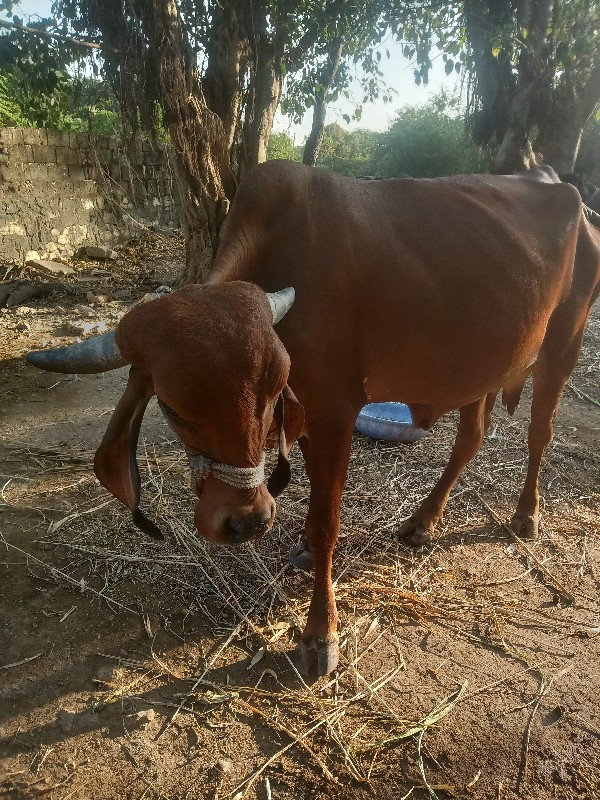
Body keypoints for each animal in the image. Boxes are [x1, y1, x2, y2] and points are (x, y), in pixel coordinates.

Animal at [27, 162, 600, 676]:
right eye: (173, 407)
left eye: (272, 389)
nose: (247, 521)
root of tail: (566, 188)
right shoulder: (308, 418)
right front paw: (301, 549)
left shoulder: (336, 411)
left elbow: (327, 522)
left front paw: (320, 635)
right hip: (478, 367)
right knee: (473, 435)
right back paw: (423, 520)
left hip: (563, 343)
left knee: (540, 432)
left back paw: (526, 514)